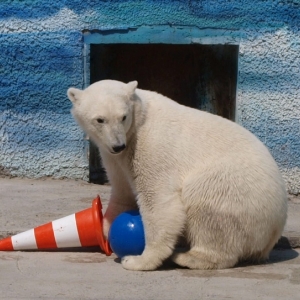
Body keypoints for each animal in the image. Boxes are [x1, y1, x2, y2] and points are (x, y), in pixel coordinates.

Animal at [67, 79, 288, 272]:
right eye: (100, 120)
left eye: (123, 117)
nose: (117, 145)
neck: (139, 119)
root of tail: (275, 229)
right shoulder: (114, 157)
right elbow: (123, 192)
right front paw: (104, 230)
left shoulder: (149, 145)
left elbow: (158, 199)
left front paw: (139, 261)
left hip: (237, 189)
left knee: (207, 203)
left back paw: (188, 257)